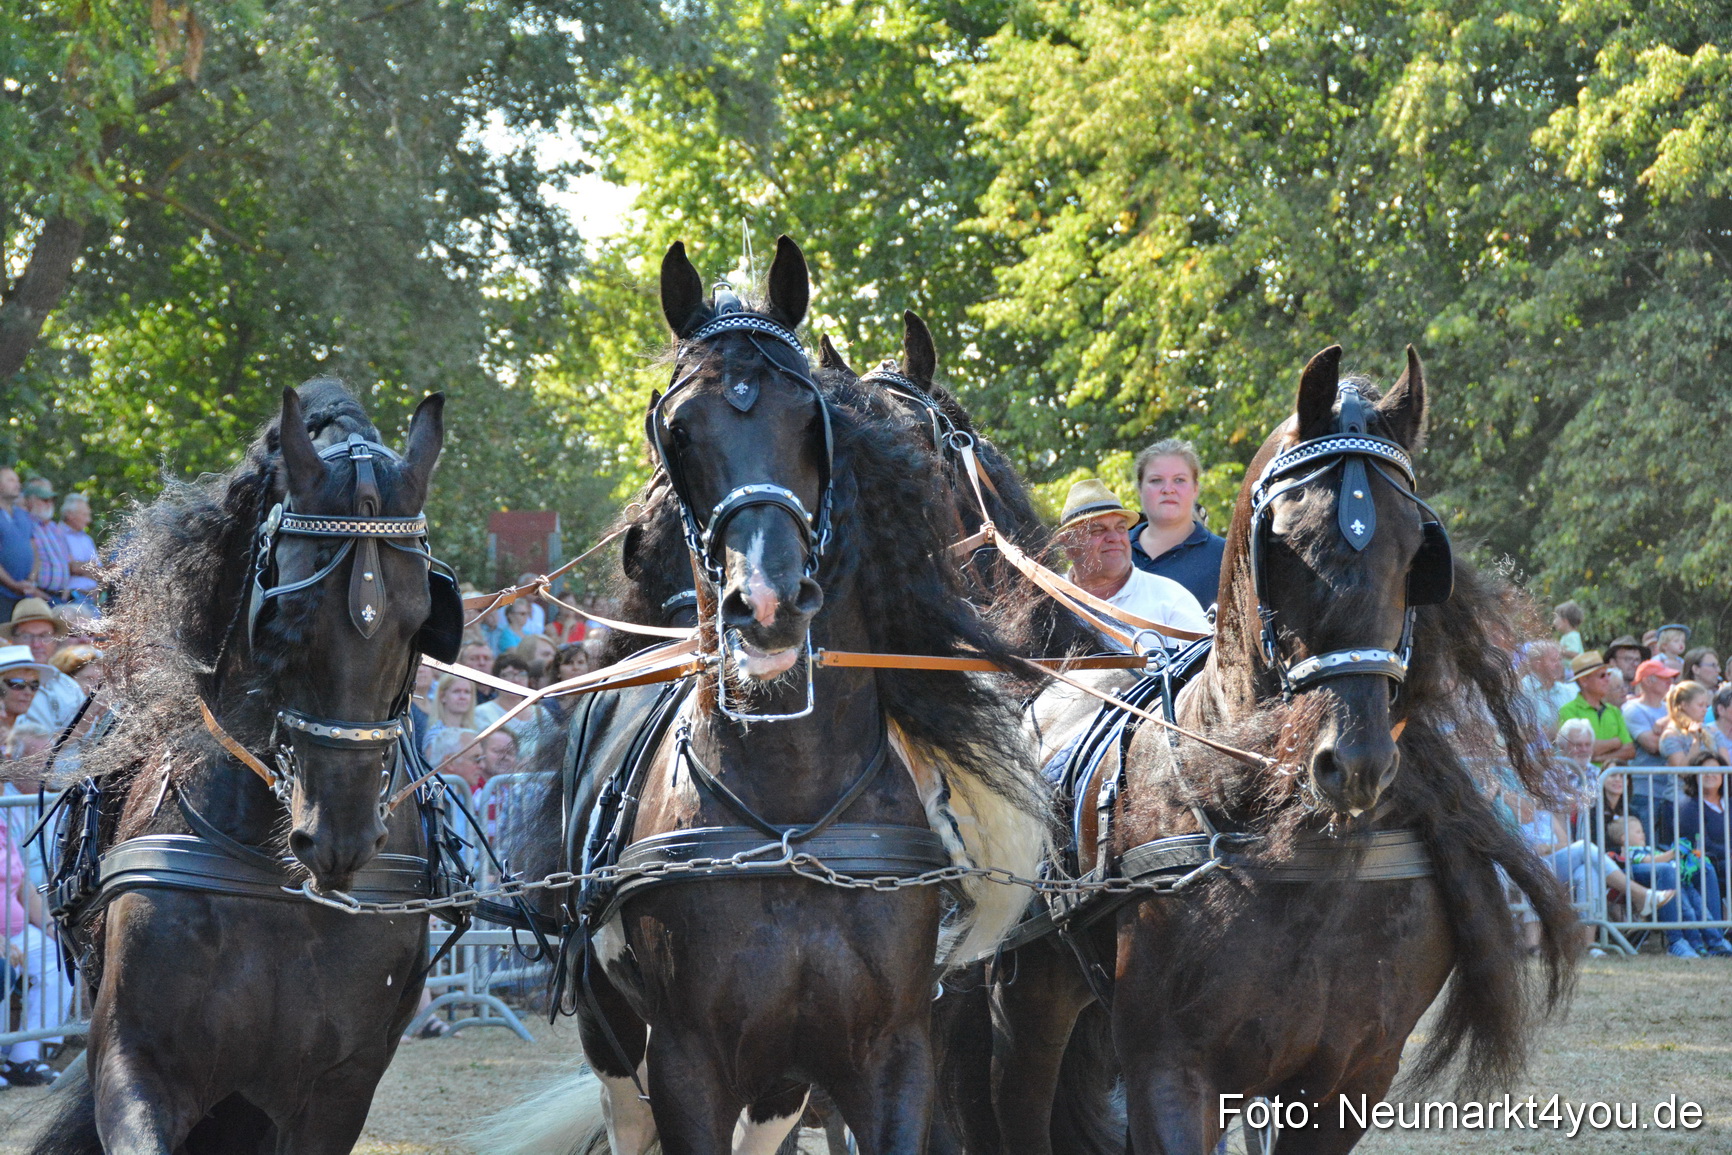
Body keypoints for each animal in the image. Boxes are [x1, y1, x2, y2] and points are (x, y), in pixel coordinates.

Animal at [22, 378, 463, 1155]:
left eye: (420, 624)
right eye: (286, 619)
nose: (340, 836)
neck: (272, 876)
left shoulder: (336, 1090)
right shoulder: (137, 1062)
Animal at [484, 238, 1048, 1155]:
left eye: (811, 422)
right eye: (678, 430)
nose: (767, 603)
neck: (793, 806)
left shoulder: (892, 1056)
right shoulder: (687, 1063)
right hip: (615, 1039)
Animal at [949, 345, 1579, 1154]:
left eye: (1416, 546)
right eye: (1285, 541)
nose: (1354, 762)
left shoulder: (1352, 1076)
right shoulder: (1170, 1068)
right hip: (1028, 1004)